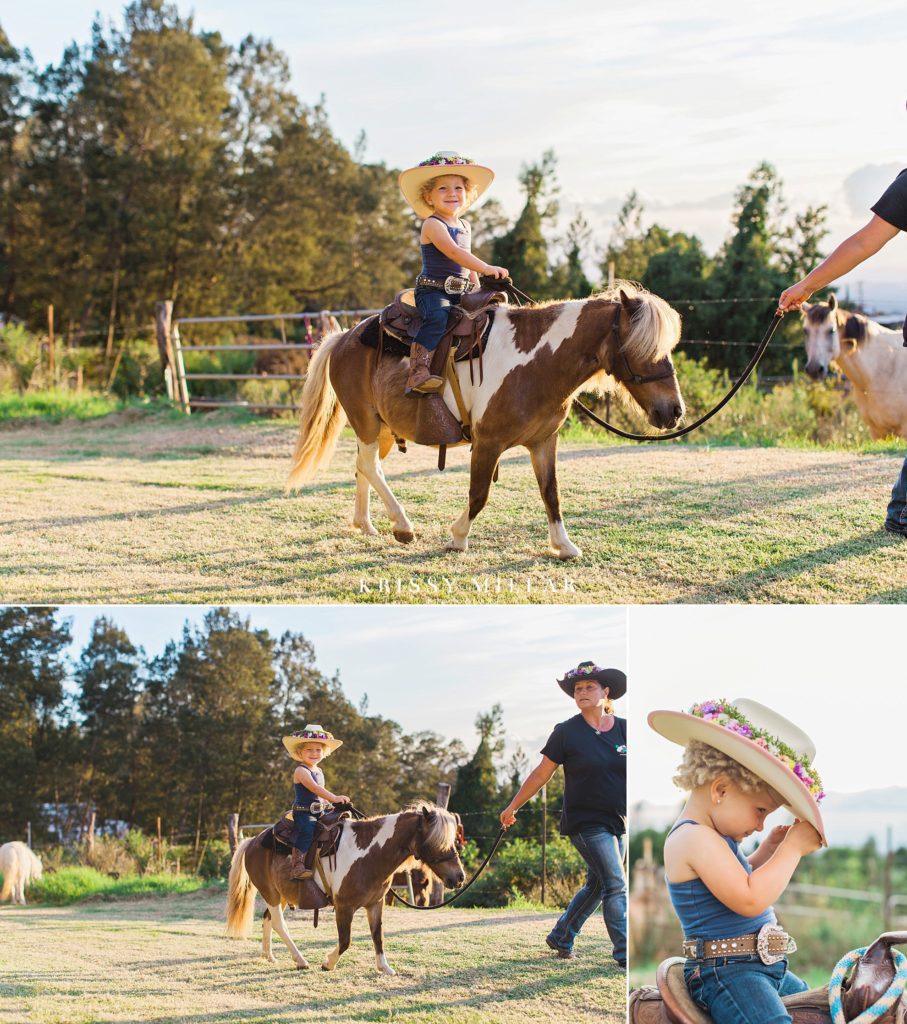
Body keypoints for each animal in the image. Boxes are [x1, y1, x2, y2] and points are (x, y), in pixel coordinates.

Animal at [227, 798, 468, 974]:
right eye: (438, 841)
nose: (459, 877)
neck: (370, 854)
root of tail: (253, 841)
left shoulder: (375, 904)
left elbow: (377, 935)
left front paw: (384, 967)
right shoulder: (344, 907)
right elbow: (345, 941)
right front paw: (328, 963)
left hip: (282, 894)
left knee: (268, 918)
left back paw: (268, 955)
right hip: (271, 893)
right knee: (278, 922)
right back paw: (300, 960)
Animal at [286, 282, 683, 561]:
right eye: (644, 348)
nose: (675, 411)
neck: (538, 362)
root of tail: (344, 337)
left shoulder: (543, 442)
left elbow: (551, 493)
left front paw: (563, 545)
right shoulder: (488, 442)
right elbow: (479, 495)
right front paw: (457, 536)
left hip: (384, 428)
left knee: (363, 467)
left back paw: (366, 524)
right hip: (366, 420)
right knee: (369, 465)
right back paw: (402, 525)